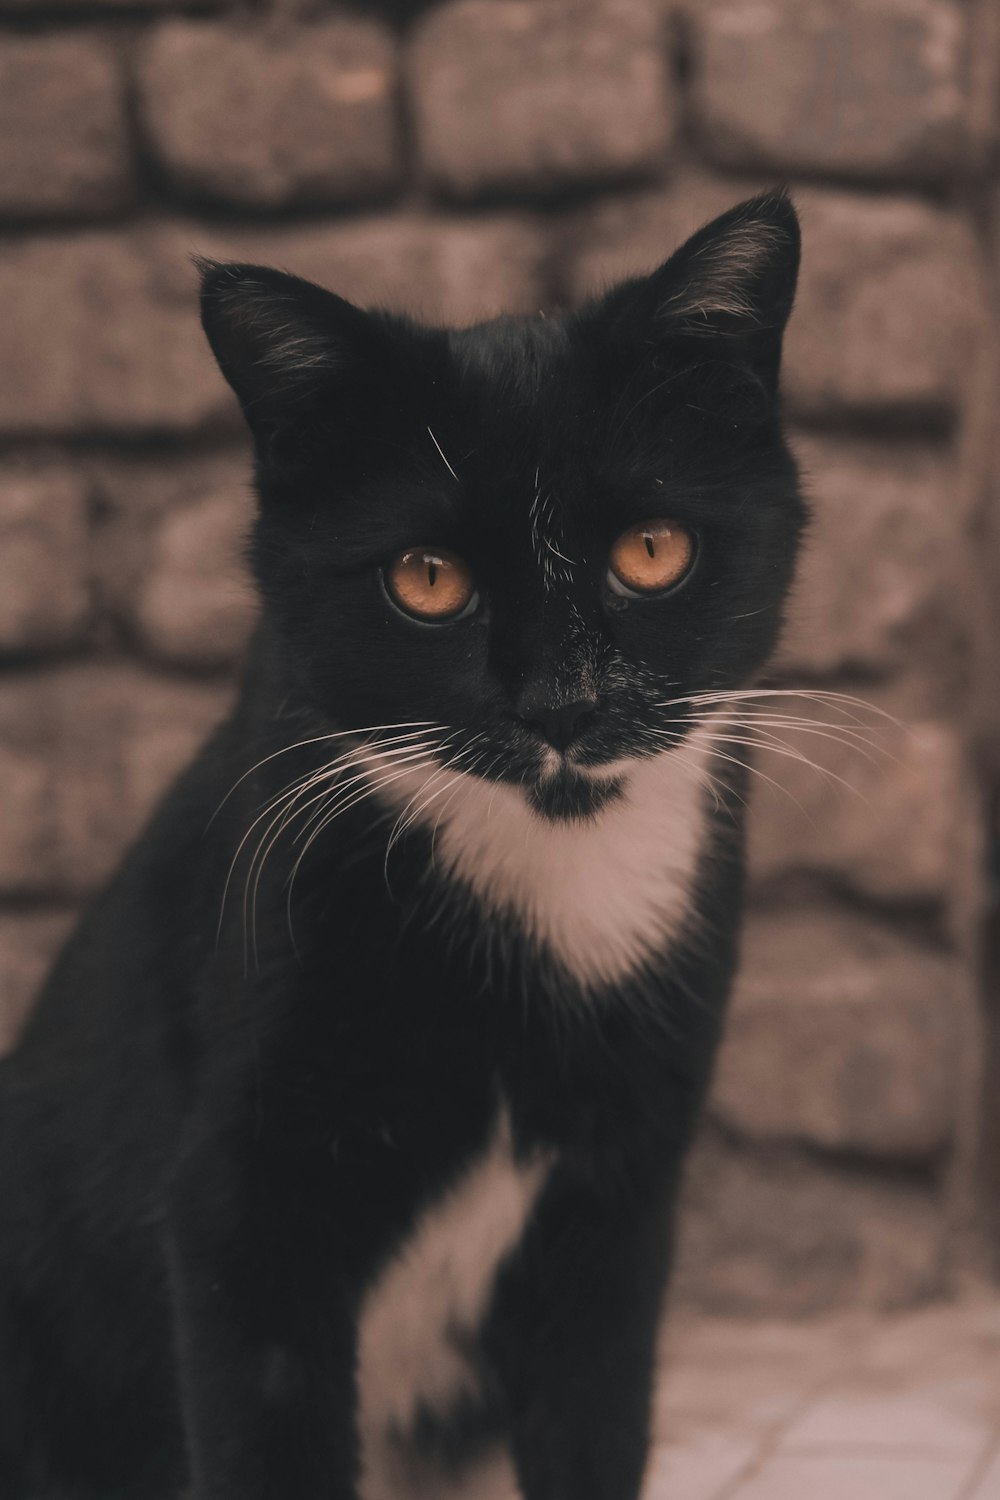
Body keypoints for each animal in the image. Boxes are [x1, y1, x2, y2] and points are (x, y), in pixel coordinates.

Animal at [0, 190, 803, 1500]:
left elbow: (593, 1419)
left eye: (650, 550)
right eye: (426, 578)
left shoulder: (620, 1195)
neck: (544, 883)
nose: (563, 706)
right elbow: (268, 1423)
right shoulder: (241, 1199)